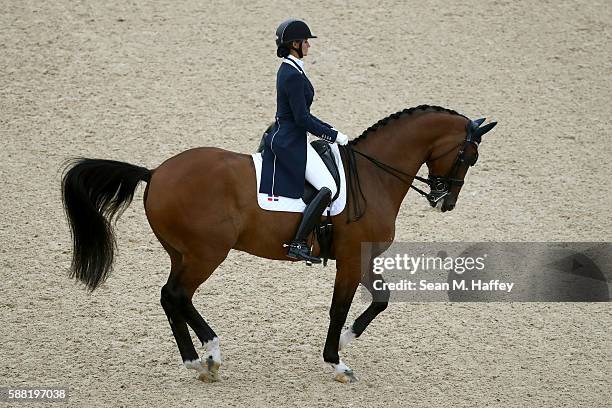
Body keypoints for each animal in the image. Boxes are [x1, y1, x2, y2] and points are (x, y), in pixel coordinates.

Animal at [59, 104, 494, 382]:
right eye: (468, 156)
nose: (446, 202)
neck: (373, 176)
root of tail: (155, 173)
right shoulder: (350, 259)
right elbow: (338, 309)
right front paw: (336, 362)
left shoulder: (361, 257)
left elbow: (381, 298)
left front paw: (349, 338)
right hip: (205, 254)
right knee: (177, 295)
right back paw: (209, 355)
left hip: (182, 253)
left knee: (171, 297)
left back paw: (197, 362)